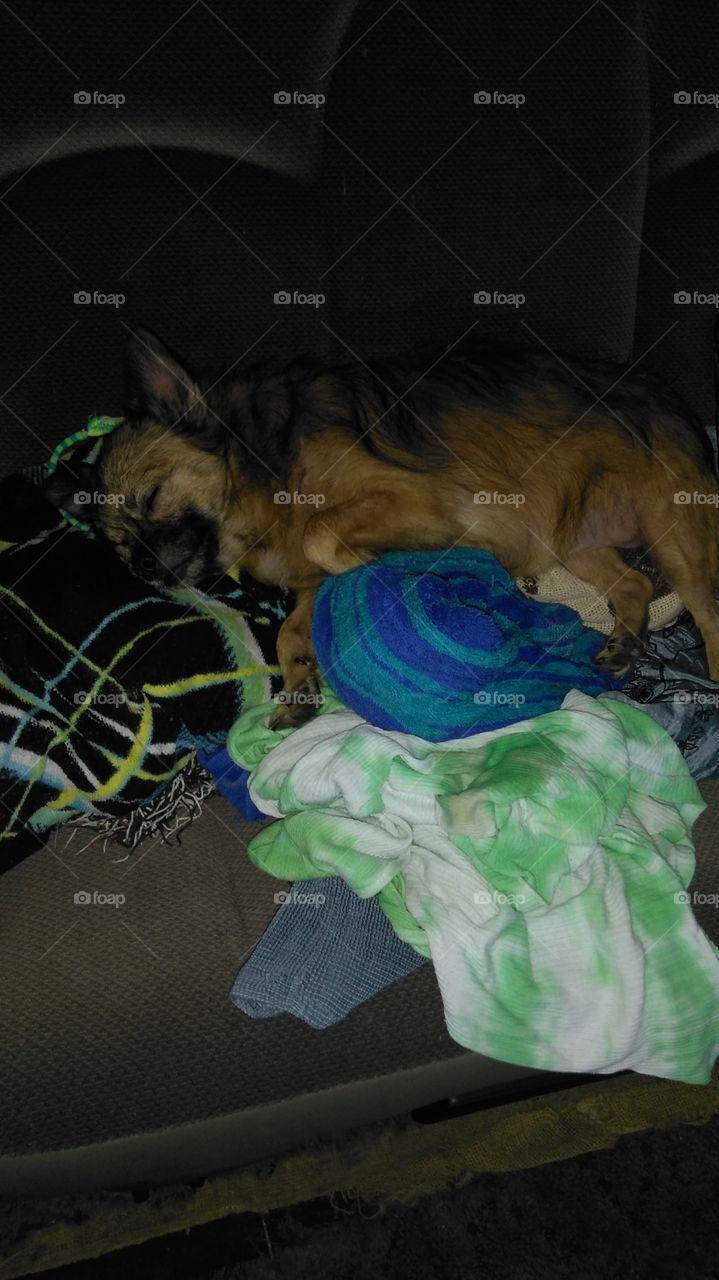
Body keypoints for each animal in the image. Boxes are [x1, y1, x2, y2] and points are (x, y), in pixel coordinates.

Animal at [44, 327, 716, 732]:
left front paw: (397, 569)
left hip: (673, 532)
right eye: (117, 546)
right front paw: (298, 684)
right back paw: (624, 643)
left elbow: (321, 533)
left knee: (706, 614)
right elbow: (290, 631)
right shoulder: (308, 586)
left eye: (152, 496)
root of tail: (667, 391)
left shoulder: (415, 498)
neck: (262, 464)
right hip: (579, 541)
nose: (143, 568)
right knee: (633, 586)